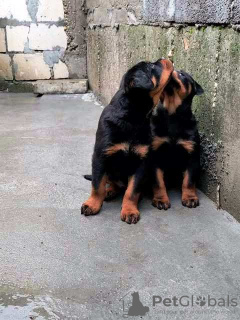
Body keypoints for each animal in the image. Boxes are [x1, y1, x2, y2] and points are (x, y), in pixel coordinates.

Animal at [81, 58, 173, 224]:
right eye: (151, 66)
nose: (165, 58)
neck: (133, 116)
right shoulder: (100, 155)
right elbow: (97, 184)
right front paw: (92, 204)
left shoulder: (141, 162)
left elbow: (132, 191)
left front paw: (130, 211)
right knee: (110, 181)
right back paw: (109, 191)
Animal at [151, 70, 203, 210]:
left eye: (182, 75)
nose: (172, 69)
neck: (172, 115)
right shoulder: (155, 155)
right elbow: (158, 181)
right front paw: (160, 199)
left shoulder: (191, 155)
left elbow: (188, 180)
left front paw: (190, 198)